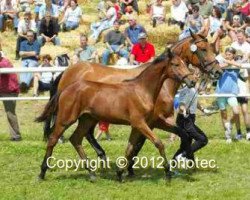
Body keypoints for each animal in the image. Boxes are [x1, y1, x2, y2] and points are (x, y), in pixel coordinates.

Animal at [37, 49, 197, 180]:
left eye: (185, 63)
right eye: (176, 64)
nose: (192, 81)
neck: (142, 90)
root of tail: (65, 88)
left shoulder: (138, 125)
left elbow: (130, 148)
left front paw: (120, 173)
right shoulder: (140, 123)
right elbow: (158, 143)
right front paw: (168, 173)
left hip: (86, 120)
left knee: (76, 139)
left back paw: (92, 173)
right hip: (65, 119)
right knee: (53, 139)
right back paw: (42, 173)